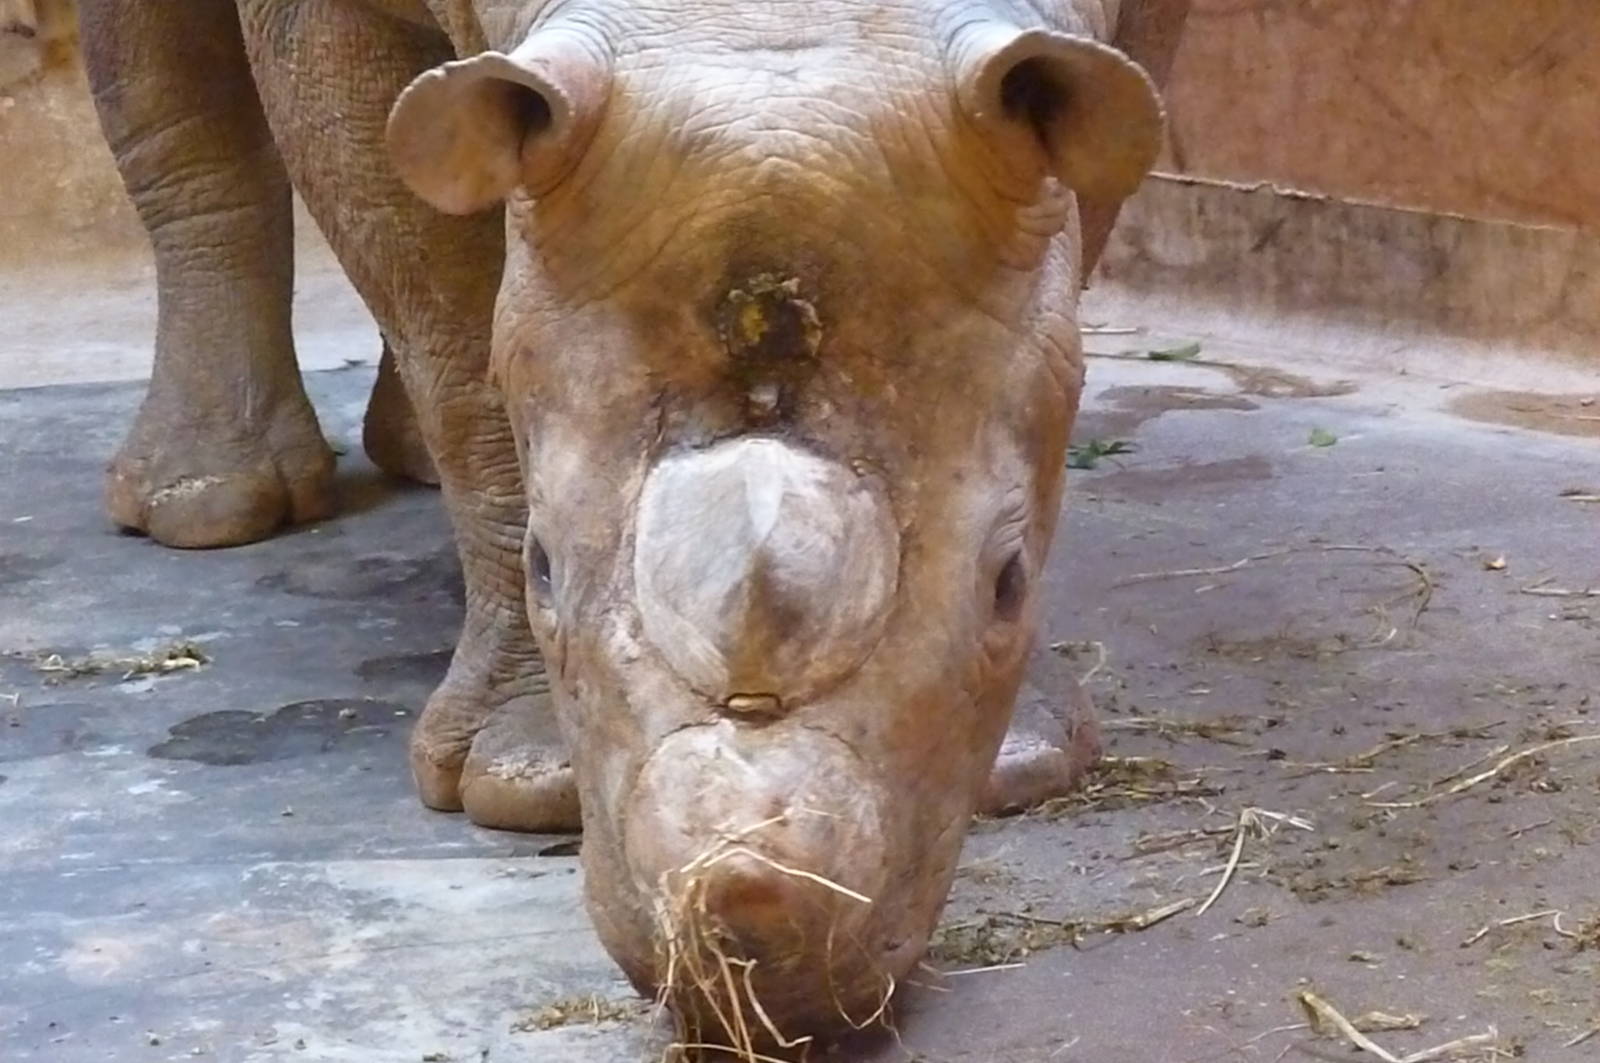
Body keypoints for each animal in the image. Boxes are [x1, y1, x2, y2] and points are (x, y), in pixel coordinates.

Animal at [78, 0, 1187, 1047]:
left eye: (1009, 582)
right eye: (541, 568)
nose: (746, 965)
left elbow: (1079, 219)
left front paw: (1018, 762)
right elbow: (451, 328)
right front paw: (524, 778)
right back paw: (204, 507)